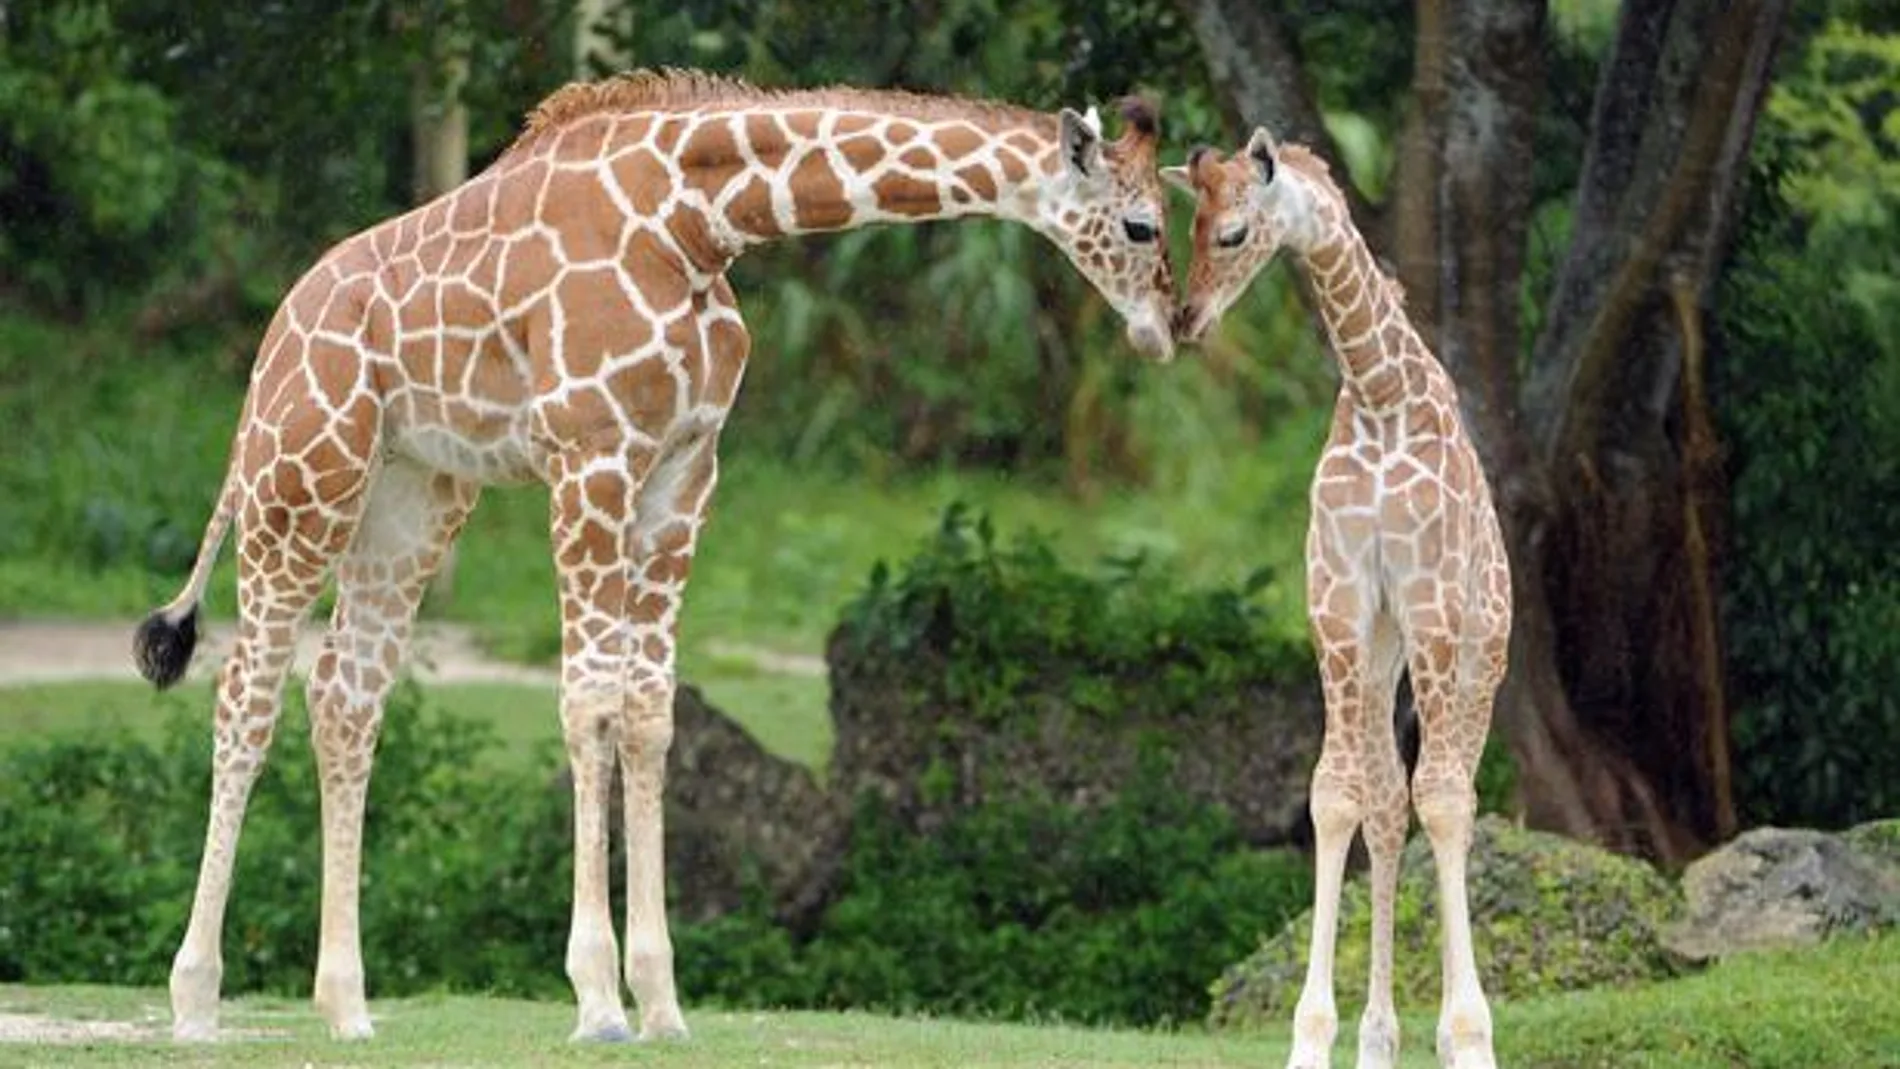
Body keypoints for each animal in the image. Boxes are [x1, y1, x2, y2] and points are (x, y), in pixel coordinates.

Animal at [133, 66, 1170, 1048]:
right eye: (1144, 222)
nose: (1163, 329)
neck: (698, 221)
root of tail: (269, 347)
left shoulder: (684, 472)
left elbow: (648, 712)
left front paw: (663, 1001)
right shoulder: (591, 454)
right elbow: (588, 700)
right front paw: (596, 997)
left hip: (412, 495)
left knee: (346, 697)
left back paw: (347, 1006)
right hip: (301, 482)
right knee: (247, 694)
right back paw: (194, 999)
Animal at [1155, 127, 1512, 1069]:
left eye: (1234, 232)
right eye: (1184, 223)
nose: (1187, 321)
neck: (1382, 395)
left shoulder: (1430, 601)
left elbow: (1443, 799)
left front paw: (1469, 1034)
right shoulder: (1340, 604)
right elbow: (1339, 795)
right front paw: (1315, 1037)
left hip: (1481, 651)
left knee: (1455, 790)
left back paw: (1449, 1032)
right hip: (1386, 653)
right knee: (1390, 802)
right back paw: (1380, 1036)